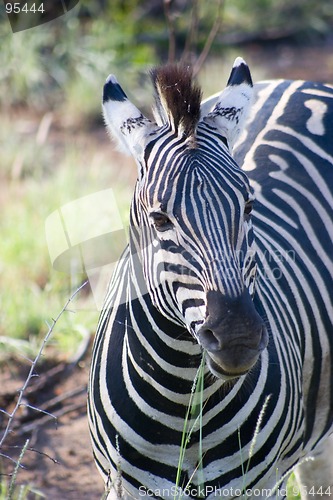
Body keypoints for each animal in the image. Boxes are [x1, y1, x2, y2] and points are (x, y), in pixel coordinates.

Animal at [87, 56, 332, 498]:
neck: (184, 400)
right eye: (159, 220)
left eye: (250, 207)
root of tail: (293, 82)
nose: (237, 338)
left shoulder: (261, 485)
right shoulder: (122, 487)